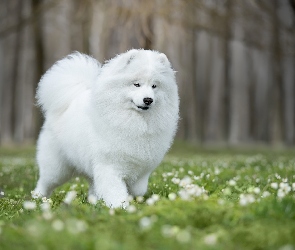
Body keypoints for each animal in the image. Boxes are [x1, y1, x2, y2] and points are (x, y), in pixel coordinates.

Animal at [33, 48, 179, 207]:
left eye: (154, 86)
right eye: (136, 84)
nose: (148, 100)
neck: (134, 121)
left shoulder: (141, 168)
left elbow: (138, 189)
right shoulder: (109, 166)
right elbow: (115, 190)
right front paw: (120, 207)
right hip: (57, 167)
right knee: (46, 182)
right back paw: (37, 197)